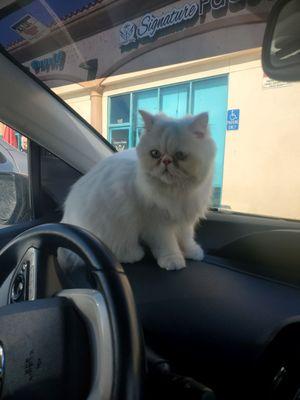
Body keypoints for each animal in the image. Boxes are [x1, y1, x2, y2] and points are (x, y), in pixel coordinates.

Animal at [61, 111, 216, 270]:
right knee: (119, 250)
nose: (166, 161)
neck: (176, 192)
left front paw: (192, 252)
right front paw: (173, 260)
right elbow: (168, 244)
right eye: (155, 153)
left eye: (180, 155)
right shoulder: (157, 223)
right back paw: (133, 255)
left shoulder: (185, 220)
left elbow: (186, 238)